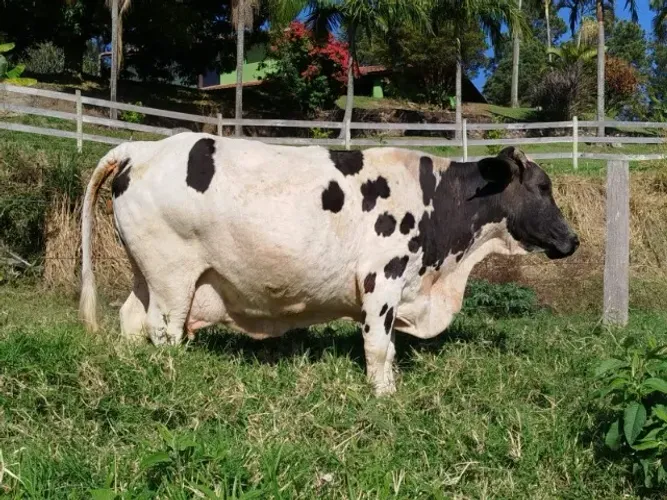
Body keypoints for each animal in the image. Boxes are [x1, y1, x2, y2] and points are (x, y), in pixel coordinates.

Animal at [79, 132, 579, 396]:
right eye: (543, 187)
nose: (572, 239)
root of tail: (143, 148)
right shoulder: (382, 280)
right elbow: (379, 347)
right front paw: (384, 396)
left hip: (146, 274)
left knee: (130, 319)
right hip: (172, 277)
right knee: (164, 332)